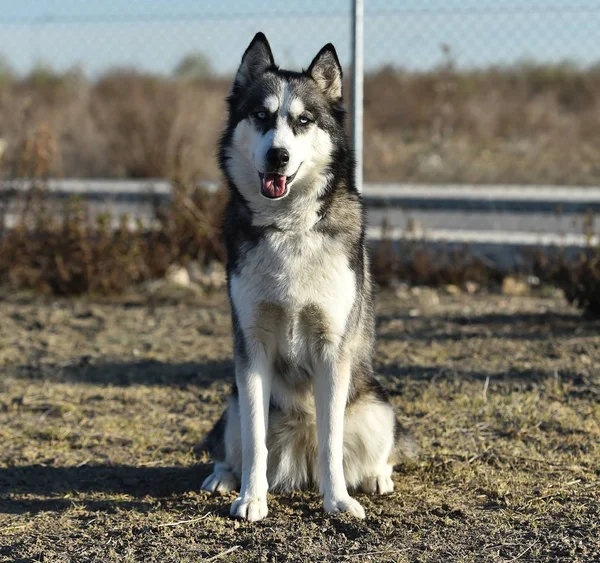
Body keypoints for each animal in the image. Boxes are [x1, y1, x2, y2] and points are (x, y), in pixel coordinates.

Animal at [202, 33, 412, 524]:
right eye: (261, 116)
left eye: (303, 120)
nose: (277, 155)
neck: (290, 228)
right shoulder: (251, 348)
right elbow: (255, 443)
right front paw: (252, 498)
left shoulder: (332, 349)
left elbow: (332, 442)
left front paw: (337, 501)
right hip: (231, 403)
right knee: (231, 444)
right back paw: (222, 477)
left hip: (378, 408)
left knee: (379, 450)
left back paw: (376, 477)